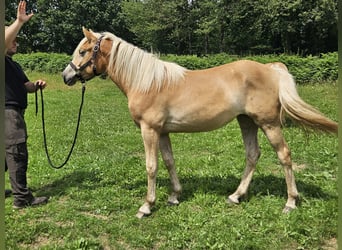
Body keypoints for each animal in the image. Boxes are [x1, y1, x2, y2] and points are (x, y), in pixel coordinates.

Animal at [61, 27, 336, 219]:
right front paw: (174, 196)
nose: (66, 76)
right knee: (252, 155)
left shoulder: (149, 130)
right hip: (247, 122)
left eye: (83, 51)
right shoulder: (162, 132)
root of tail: (271, 68)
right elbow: (169, 161)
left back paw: (290, 202)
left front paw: (147, 206)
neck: (148, 82)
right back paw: (236, 196)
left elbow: (151, 166)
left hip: (268, 124)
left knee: (284, 156)